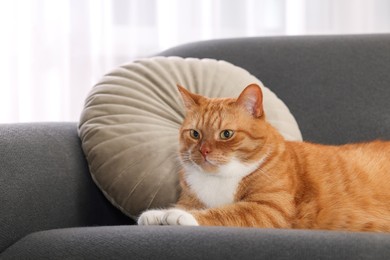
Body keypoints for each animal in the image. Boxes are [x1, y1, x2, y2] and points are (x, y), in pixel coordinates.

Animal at [136, 83, 390, 232]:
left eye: (226, 134)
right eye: (195, 134)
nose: (204, 150)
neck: (220, 179)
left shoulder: (270, 210)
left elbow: (225, 212)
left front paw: (177, 215)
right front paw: (156, 215)